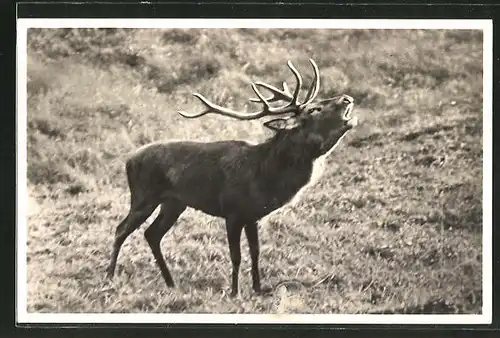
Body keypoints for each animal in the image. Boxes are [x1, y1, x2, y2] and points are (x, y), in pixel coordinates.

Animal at [105, 59, 358, 298]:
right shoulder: (232, 212)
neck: (265, 176)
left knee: (152, 234)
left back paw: (170, 282)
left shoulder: (253, 216)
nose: (347, 98)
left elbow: (255, 252)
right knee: (121, 229)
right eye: (314, 109)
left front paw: (258, 289)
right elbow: (236, 255)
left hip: (174, 202)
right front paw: (234, 291)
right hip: (143, 195)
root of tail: (128, 160)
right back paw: (109, 276)